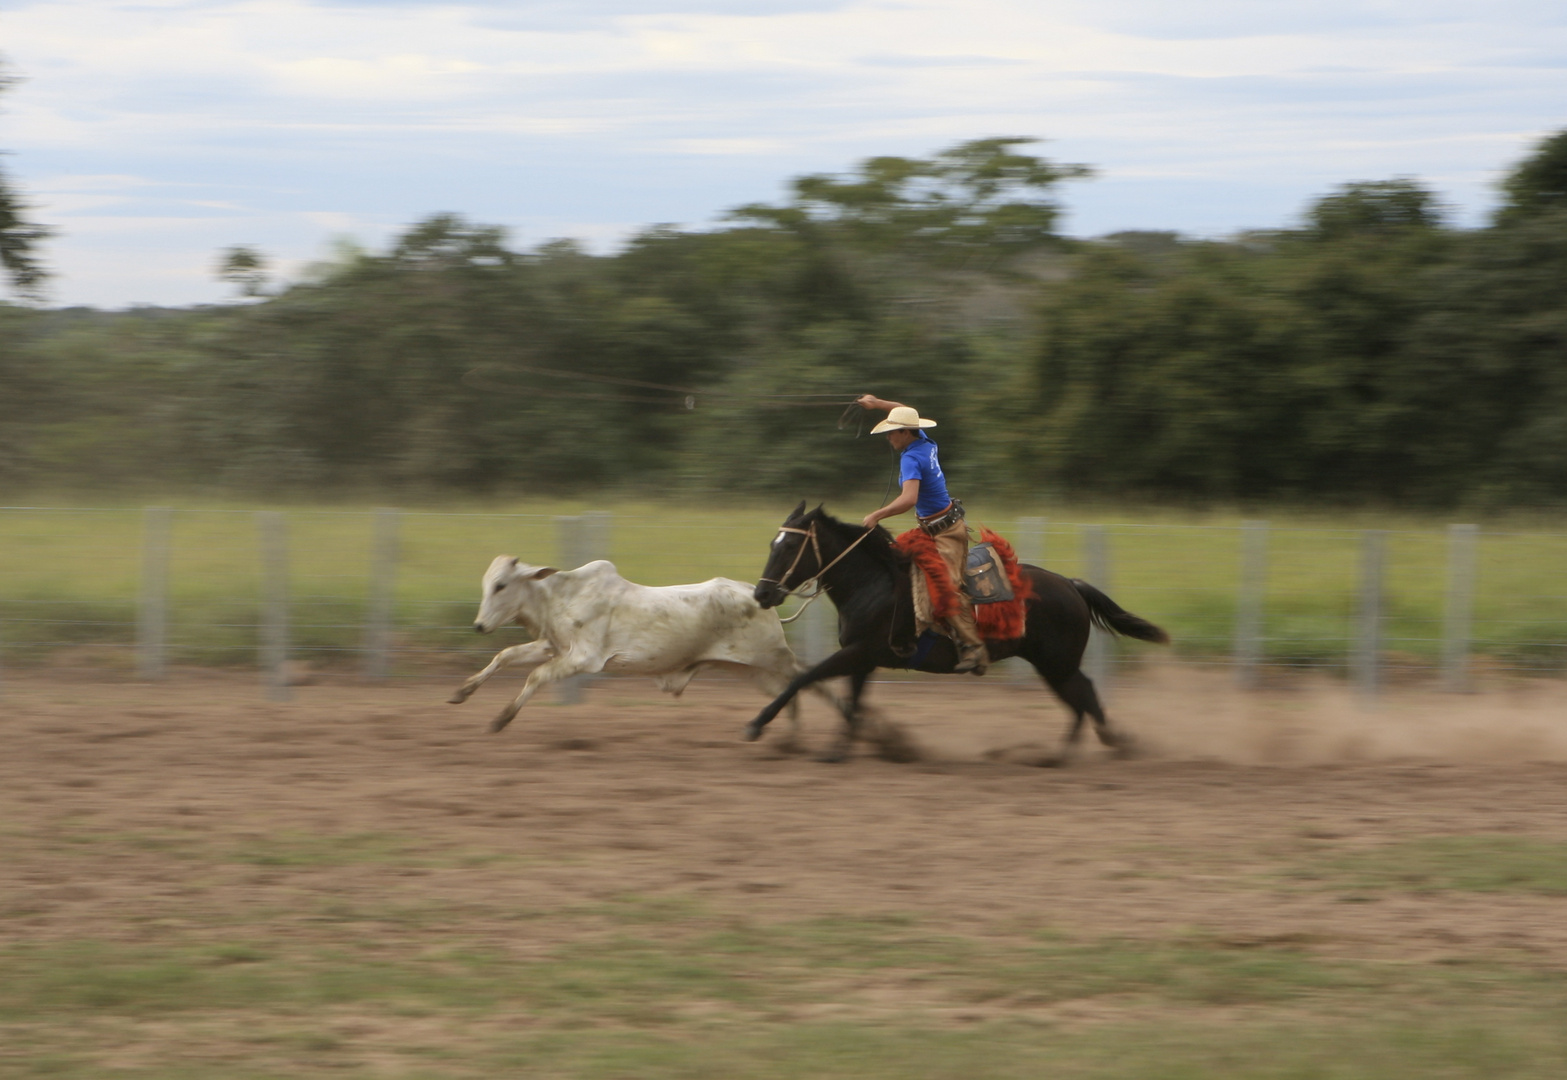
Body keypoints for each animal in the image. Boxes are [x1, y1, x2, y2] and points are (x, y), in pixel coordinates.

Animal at [448, 554, 827, 733]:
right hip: (753, 671)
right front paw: (461, 692)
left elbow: (535, 676)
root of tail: (763, 598)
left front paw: (502, 719)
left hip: (774, 659)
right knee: (791, 693)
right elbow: (505, 656)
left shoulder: (584, 658)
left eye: (501, 585)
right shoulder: (554, 647)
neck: (556, 596)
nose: (479, 625)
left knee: (810, 683)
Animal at [752, 504, 1172, 761]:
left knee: (1084, 697)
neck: (873, 582)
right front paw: (850, 749)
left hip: (1058, 664)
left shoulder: (857, 652)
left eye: (790, 544)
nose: (762, 594)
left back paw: (1076, 752)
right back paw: (1085, 749)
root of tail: (1071, 584)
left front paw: (757, 723)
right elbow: (851, 702)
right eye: (772, 542)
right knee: (1083, 699)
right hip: (1055, 666)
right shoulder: (864, 660)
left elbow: (804, 677)